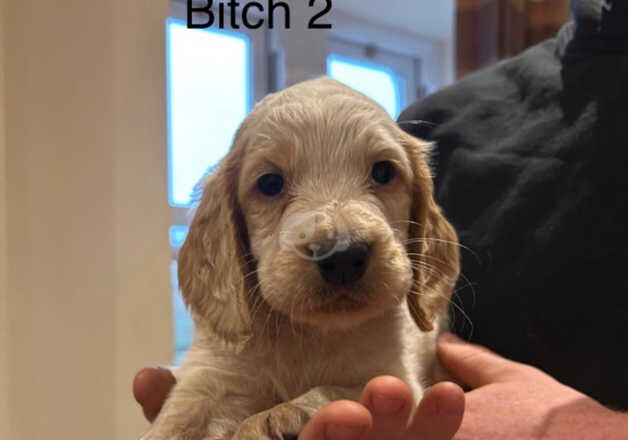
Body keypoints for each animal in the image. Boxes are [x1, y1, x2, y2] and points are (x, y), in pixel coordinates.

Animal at [142, 78, 458, 440]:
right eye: (270, 183)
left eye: (383, 172)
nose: (344, 255)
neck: (307, 333)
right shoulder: (212, 374)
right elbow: (179, 419)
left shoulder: (394, 377)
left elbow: (338, 390)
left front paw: (276, 417)